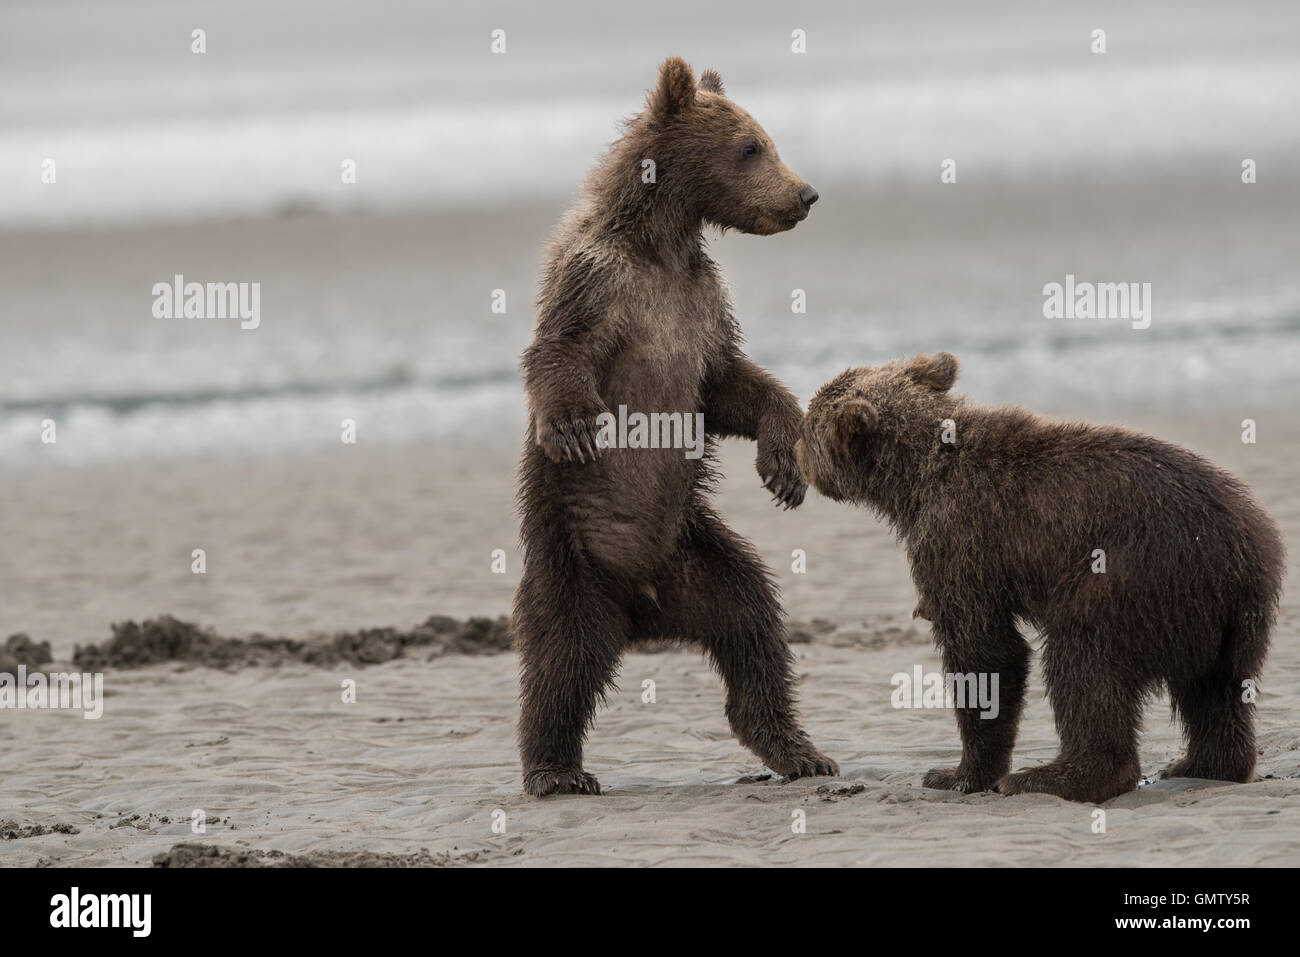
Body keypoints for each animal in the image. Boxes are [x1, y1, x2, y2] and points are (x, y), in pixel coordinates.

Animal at [513, 57, 838, 797]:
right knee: (560, 663)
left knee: (754, 625)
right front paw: (575, 427)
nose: (805, 194)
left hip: (698, 554)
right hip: (571, 559)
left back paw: (796, 747)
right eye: (751, 147)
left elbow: (728, 384)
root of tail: (644, 612)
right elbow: (561, 350)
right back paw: (555, 769)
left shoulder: (701, 303)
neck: (660, 245)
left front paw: (784, 463)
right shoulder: (597, 283)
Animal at [796, 353, 1284, 803]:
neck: (916, 480)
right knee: (1216, 692)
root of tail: (1249, 545)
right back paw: (1201, 766)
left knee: (1085, 661)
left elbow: (984, 649)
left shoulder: (959, 541)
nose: (795, 448)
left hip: (1134, 576)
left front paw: (956, 775)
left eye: (808, 422)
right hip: (1223, 617)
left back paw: (1055, 777)